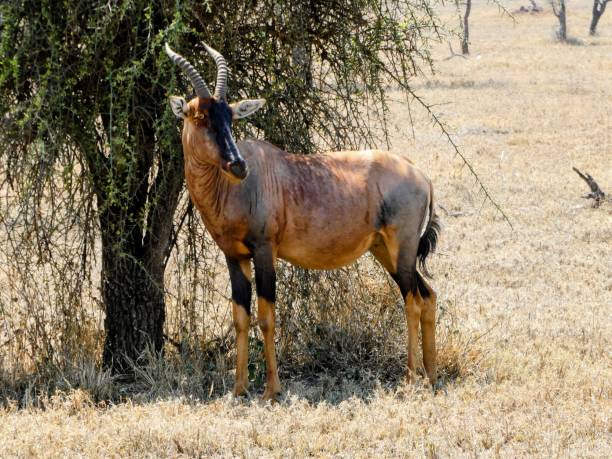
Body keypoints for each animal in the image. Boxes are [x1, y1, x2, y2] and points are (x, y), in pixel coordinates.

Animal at [163, 44, 440, 402]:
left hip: (401, 247)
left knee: (413, 301)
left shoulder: (265, 251)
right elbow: (241, 317)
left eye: (230, 116)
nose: (238, 166)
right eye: (199, 116)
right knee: (428, 296)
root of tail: (420, 174)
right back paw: (431, 377)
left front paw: (271, 390)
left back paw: (410, 379)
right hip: (384, 250)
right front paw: (238, 389)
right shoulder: (234, 256)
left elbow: (266, 316)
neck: (234, 189)